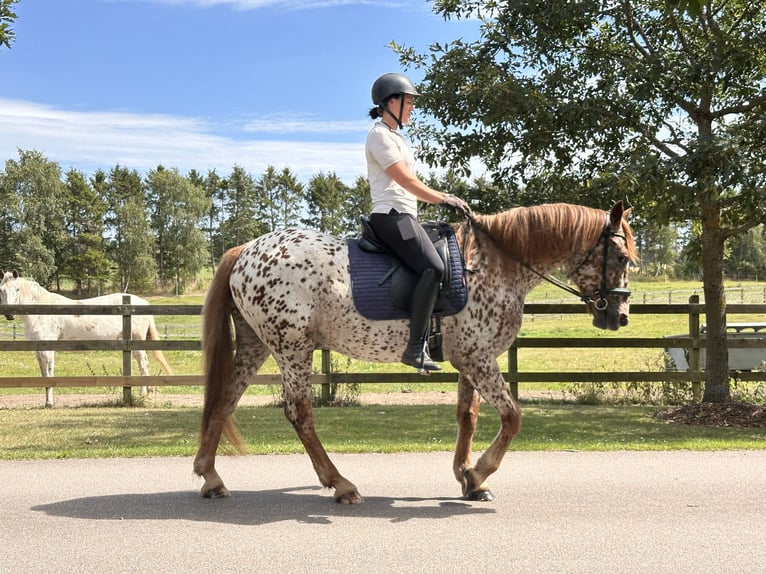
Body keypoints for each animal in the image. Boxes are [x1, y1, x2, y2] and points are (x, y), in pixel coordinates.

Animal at [0, 271, 172, 407]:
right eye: (1, 290)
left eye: (17, 289)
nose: (9, 314)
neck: (41, 312)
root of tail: (143, 302)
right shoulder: (38, 350)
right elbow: (44, 375)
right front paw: (47, 401)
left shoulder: (48, 350)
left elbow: (49, 375)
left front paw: (49, 403)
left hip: (137, 342)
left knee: (143, 365)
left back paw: (145, 394)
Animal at [194, 202, 638, 504]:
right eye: (620, 256)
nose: (619, 317)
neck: (495, 266)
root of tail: (245, 250)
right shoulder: (478, 359)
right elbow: (512, 418)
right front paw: (479, 474)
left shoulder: (471, 360)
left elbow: (467, 415)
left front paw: (466, 476)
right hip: (292, 348)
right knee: (299, 413)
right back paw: (340, 484)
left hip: (256, 345)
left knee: (224, 400)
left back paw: (211, 476)